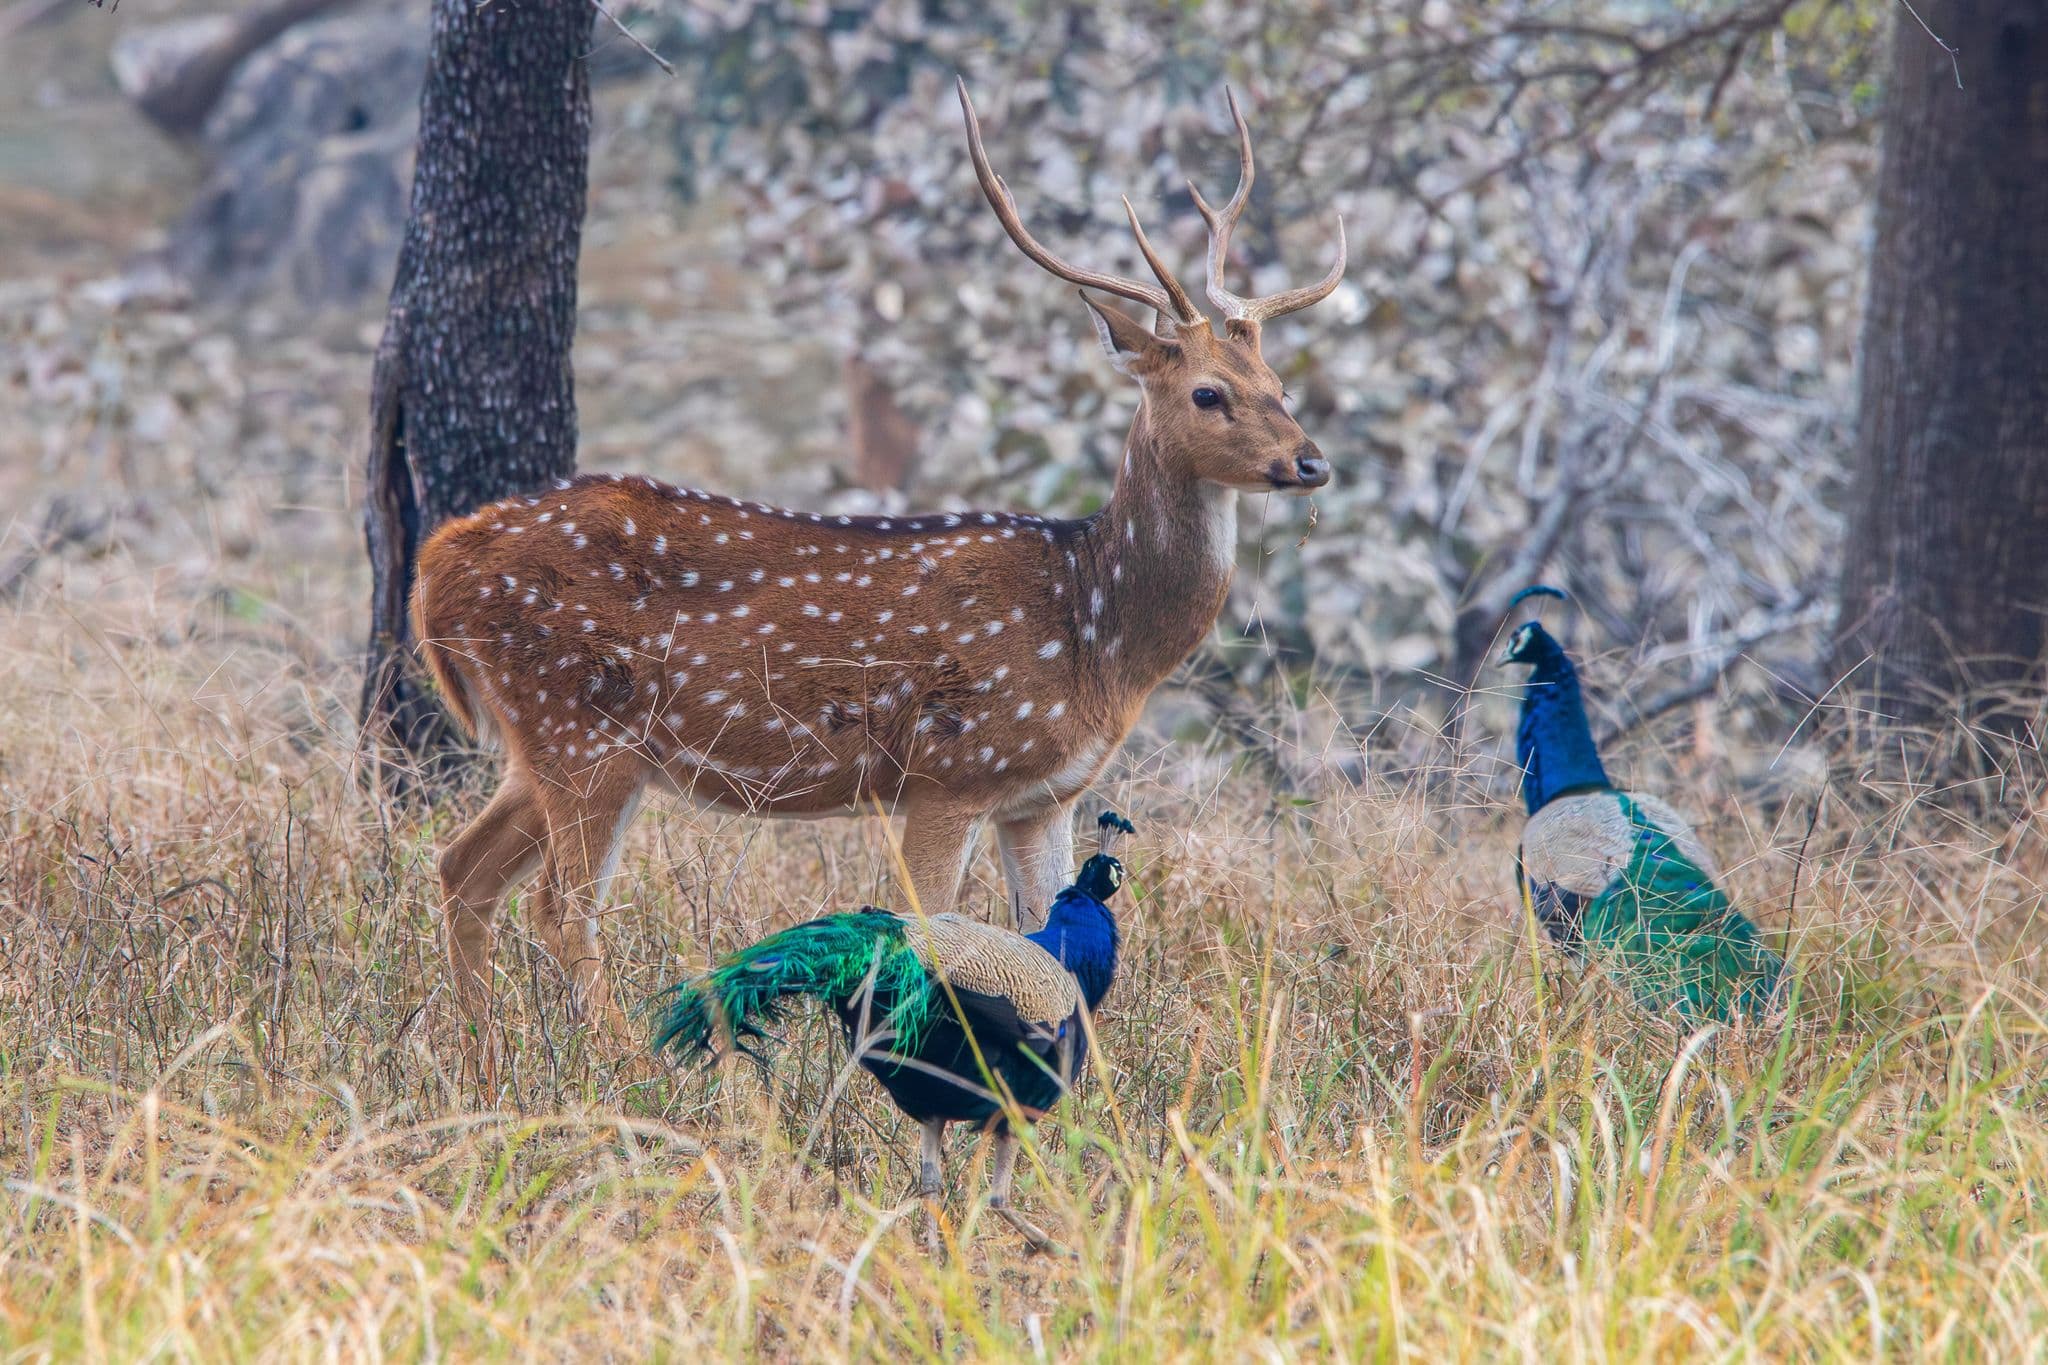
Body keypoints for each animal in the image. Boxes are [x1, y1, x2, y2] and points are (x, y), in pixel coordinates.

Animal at [412, 80, 1344, 1085]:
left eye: (1279, 381)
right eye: (1209, 392)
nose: (1311, 461)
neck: (1098, 634)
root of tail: (438, 559)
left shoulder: (1040, 794)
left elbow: (1053, 945)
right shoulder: (951, 768)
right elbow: (933, 933)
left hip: (541, 744)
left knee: (462, 870)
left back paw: (480, 1063)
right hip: (579, 726)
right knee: (558, 906)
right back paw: (636, 1071)